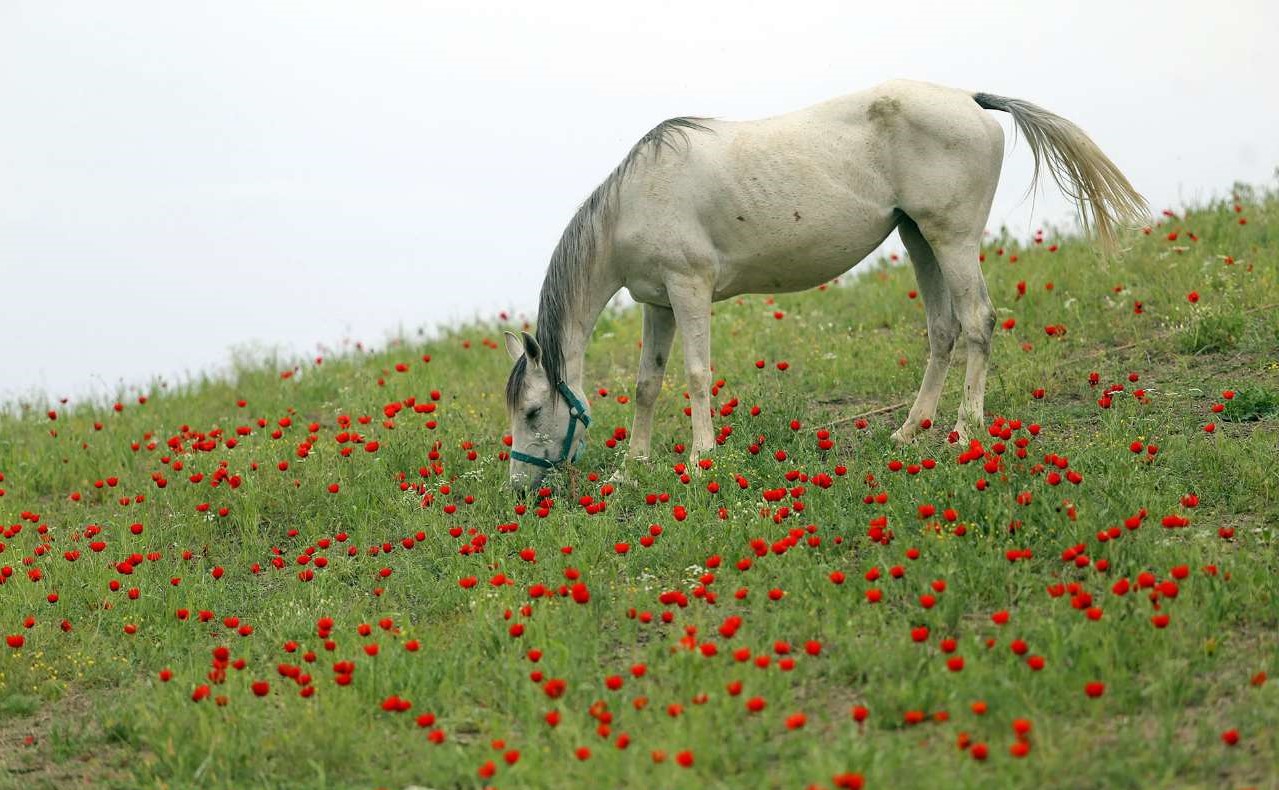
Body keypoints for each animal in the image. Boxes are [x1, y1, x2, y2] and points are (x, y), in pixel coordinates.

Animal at [496, 78, 1140, 485]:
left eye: (533, 411)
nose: (521, 487)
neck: (634, 202)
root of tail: (971, 99)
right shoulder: (659, 303)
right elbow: (647, 384)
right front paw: (633, 466)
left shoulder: (689, 290)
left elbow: (697, 375)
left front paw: (702, 460)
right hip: (919, 239)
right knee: (943, 329)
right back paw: (908, 432)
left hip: (952, 239)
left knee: (978, 321)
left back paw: (964, 431)